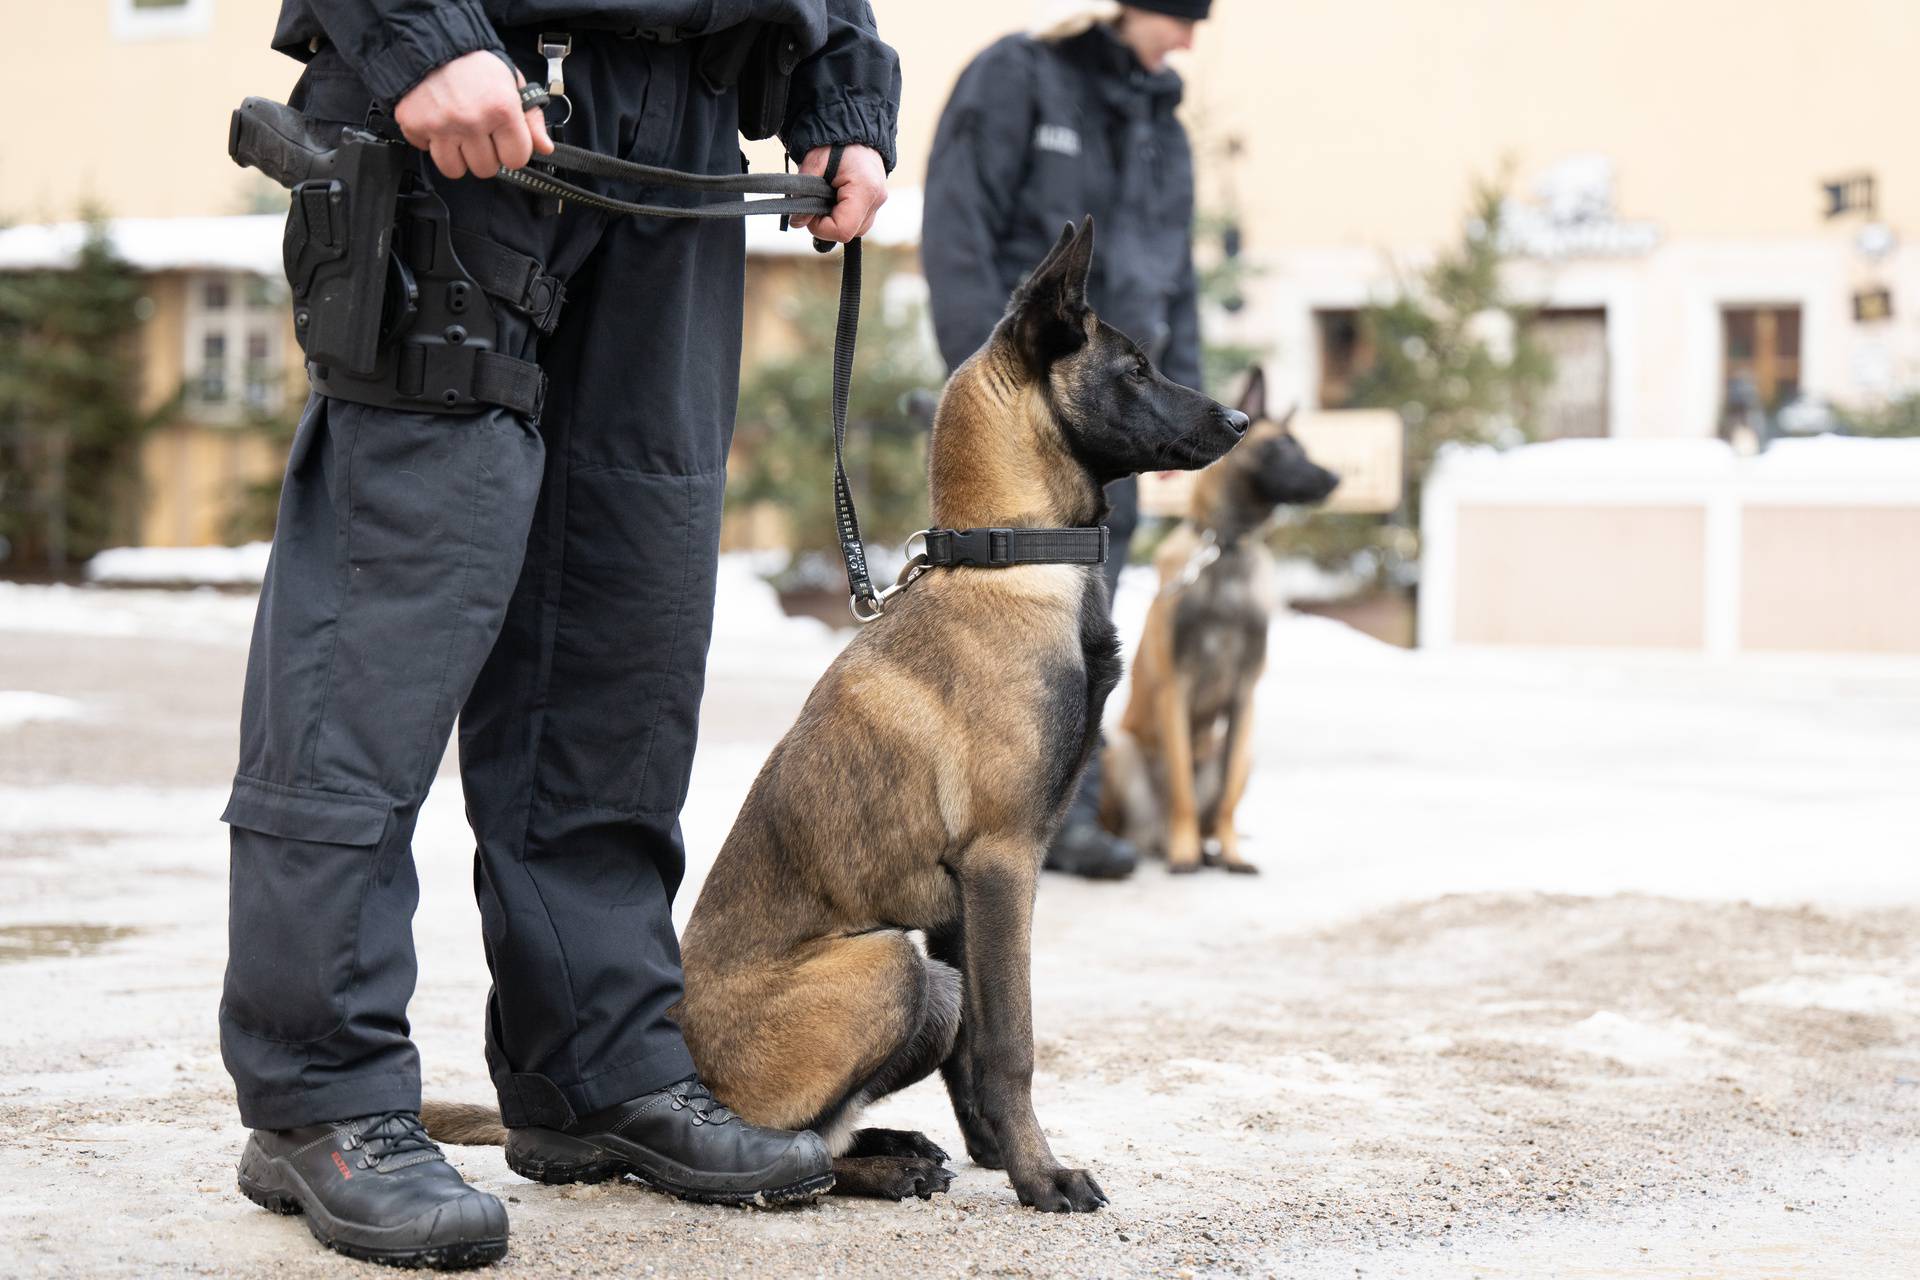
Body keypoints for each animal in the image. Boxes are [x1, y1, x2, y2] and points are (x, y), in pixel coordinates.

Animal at [424, 220, 1244, 1212]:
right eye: (1134, 368)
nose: (1239, 422)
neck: (1009, 558)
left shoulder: (968, 902)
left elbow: (976, 1054)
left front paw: (995, 1153)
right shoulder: (1004, 863)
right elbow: (1011, 1043)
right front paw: (1039, 1174)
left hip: (930, 977)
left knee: (848, 1114)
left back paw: (896, 1150)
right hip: (895, 965)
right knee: (797, 1140)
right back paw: (838, 1166)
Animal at [1105, 364, 1344, 875]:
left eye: (1303, 445)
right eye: (1281, 446)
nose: (1335, 478)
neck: (1226, 548)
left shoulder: (1244, 695)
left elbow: (1229, 795)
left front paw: (1233, 854)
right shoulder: (1176, 687)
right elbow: (1181, 784)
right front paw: (1184, 855)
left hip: (1245, 751)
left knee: (1217, 806)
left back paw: (1212, 849)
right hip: (1122, 750)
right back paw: (1162, 847)